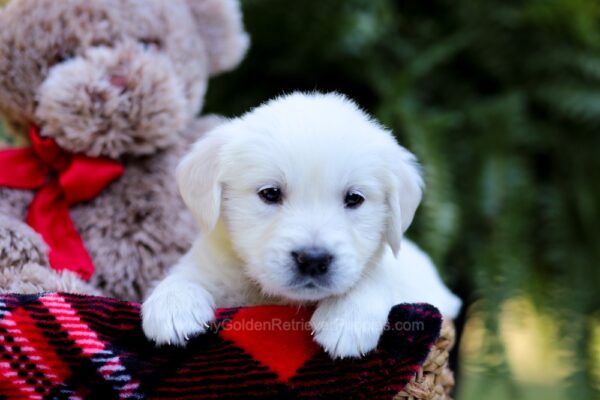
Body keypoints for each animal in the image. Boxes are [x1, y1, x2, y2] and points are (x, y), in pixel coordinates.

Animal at [141, 92, 460, 358]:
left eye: (354, 198)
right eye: (270, 193)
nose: (313, 260)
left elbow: (378, 278)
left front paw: (346, 318)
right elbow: (186, 275)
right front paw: (172, 304)